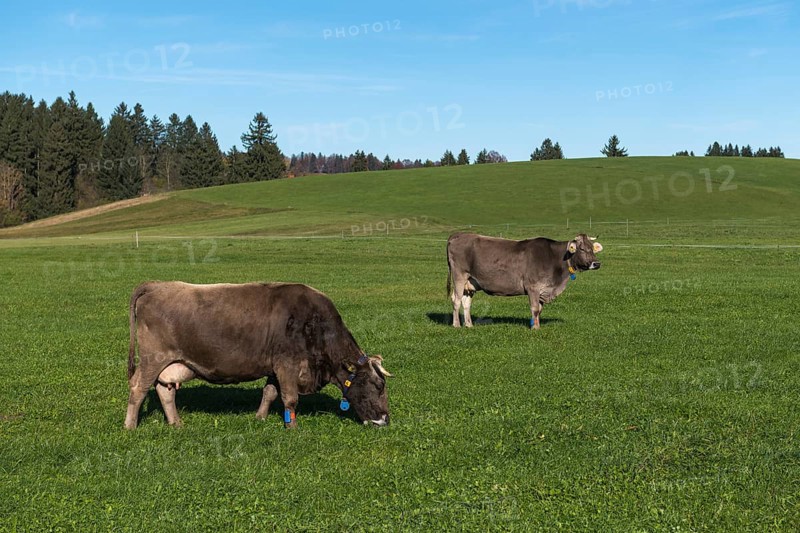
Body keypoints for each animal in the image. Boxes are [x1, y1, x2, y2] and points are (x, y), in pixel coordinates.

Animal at [124, 281, 391, 429]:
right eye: (377, 386)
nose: (385, 419)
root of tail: (157, 285)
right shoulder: (288, 363)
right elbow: (290, 398)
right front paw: (292, 427)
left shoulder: (276, 366)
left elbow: (270, 392)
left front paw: (260, 418)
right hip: (153, 358)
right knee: (138, 388)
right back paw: (130, 427)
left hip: (171, 363)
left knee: (164, 390)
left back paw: (176, 423)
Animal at [446, 233, 603, 330]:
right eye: (581, 249)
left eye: (592, 249)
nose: (596, 263)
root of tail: (458, 235)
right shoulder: (533, 287)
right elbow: (534, 308)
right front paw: (535, 328)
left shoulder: (543, 290)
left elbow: (539, 309)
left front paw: (536, 325)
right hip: (459, 275)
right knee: (456, 299)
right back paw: (456, 325)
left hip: (470, 282)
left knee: (466, 302)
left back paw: (469, 325)